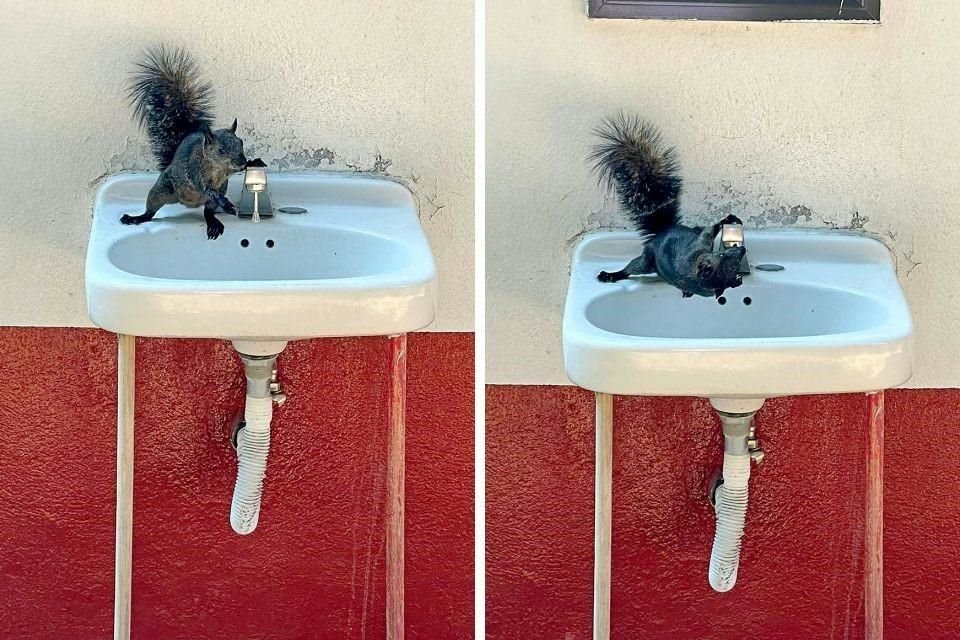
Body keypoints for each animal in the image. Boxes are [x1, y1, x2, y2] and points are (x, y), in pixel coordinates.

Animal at [120, 46, 248, 239]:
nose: (243, 162)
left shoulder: (223, 182)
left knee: (208, 212)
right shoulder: (196, 171)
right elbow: (206, 188)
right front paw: (225, 203)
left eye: (241, 143)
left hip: (207, 202)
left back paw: (213, 223)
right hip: (161, 189)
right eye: (221, 150)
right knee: (150, 211)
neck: (217, 168)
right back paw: (135, 218)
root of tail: (187, 203)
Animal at [590, 113, 746, 299]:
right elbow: (708, 231)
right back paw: (611, 275)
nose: (742, 250)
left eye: (736, 267)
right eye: (722, 254)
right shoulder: (698, 246)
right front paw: (726, 220)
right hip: (652, 257)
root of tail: (663, 230)